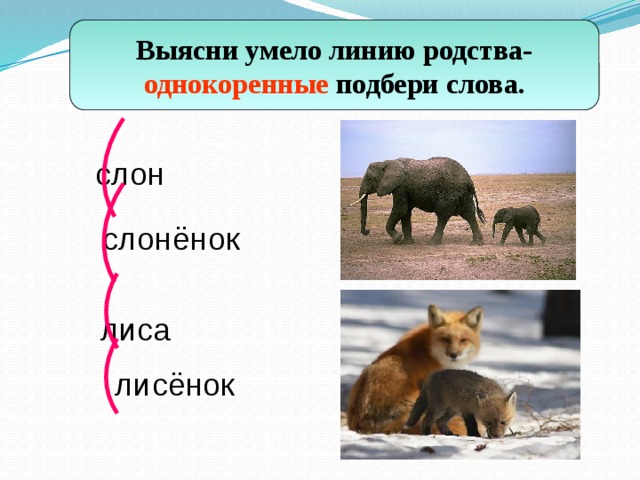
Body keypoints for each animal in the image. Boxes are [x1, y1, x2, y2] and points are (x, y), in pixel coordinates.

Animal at [350, 157, 485, 245]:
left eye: (369, 178)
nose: (367, 231)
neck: (386, 162)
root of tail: (469, 180)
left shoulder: (401, 187)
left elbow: (400, 209)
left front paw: (397, 239)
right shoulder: (404, 189)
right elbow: (405, 212)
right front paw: (407, 242)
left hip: (451, 192)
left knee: (443, 216)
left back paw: (432, 243)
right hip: (464, 194)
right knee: (469, 214)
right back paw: (476, 243)